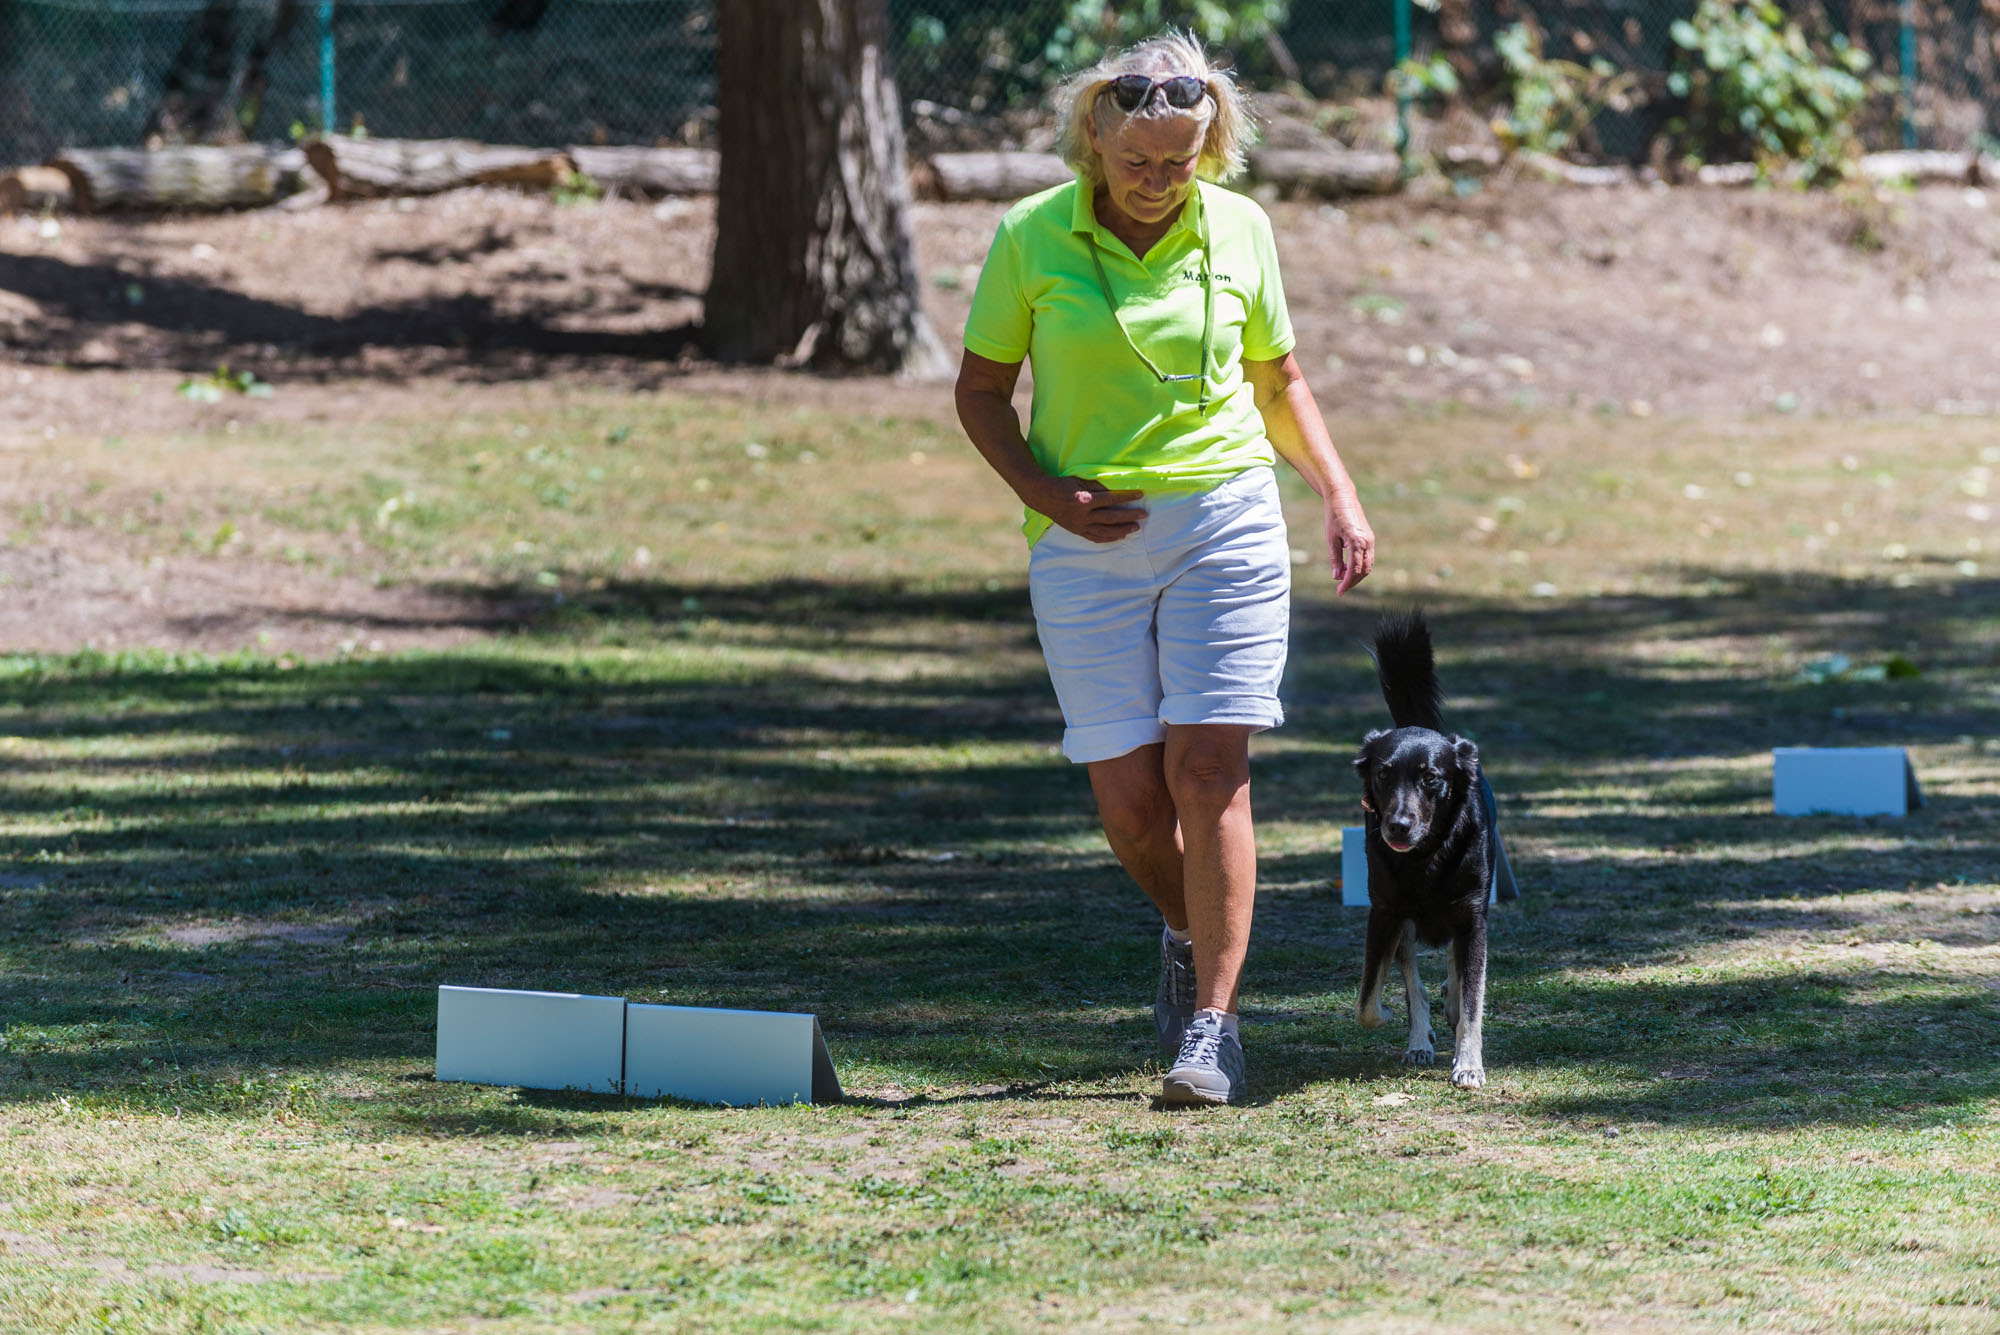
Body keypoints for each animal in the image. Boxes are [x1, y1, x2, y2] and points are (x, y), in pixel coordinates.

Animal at [1352, 611, 1496, 1087]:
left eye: (1431, 778)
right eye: (1383, 775)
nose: (1397, 824)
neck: (1424, 858)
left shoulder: (1472, 916)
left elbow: (1472, 1000)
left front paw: (1468, 1064)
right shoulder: (1386, 915)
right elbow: (1368, 1001)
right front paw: (1394, 1016)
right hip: (1407, 926)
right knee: (1414, 981)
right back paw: (1419, 1039)